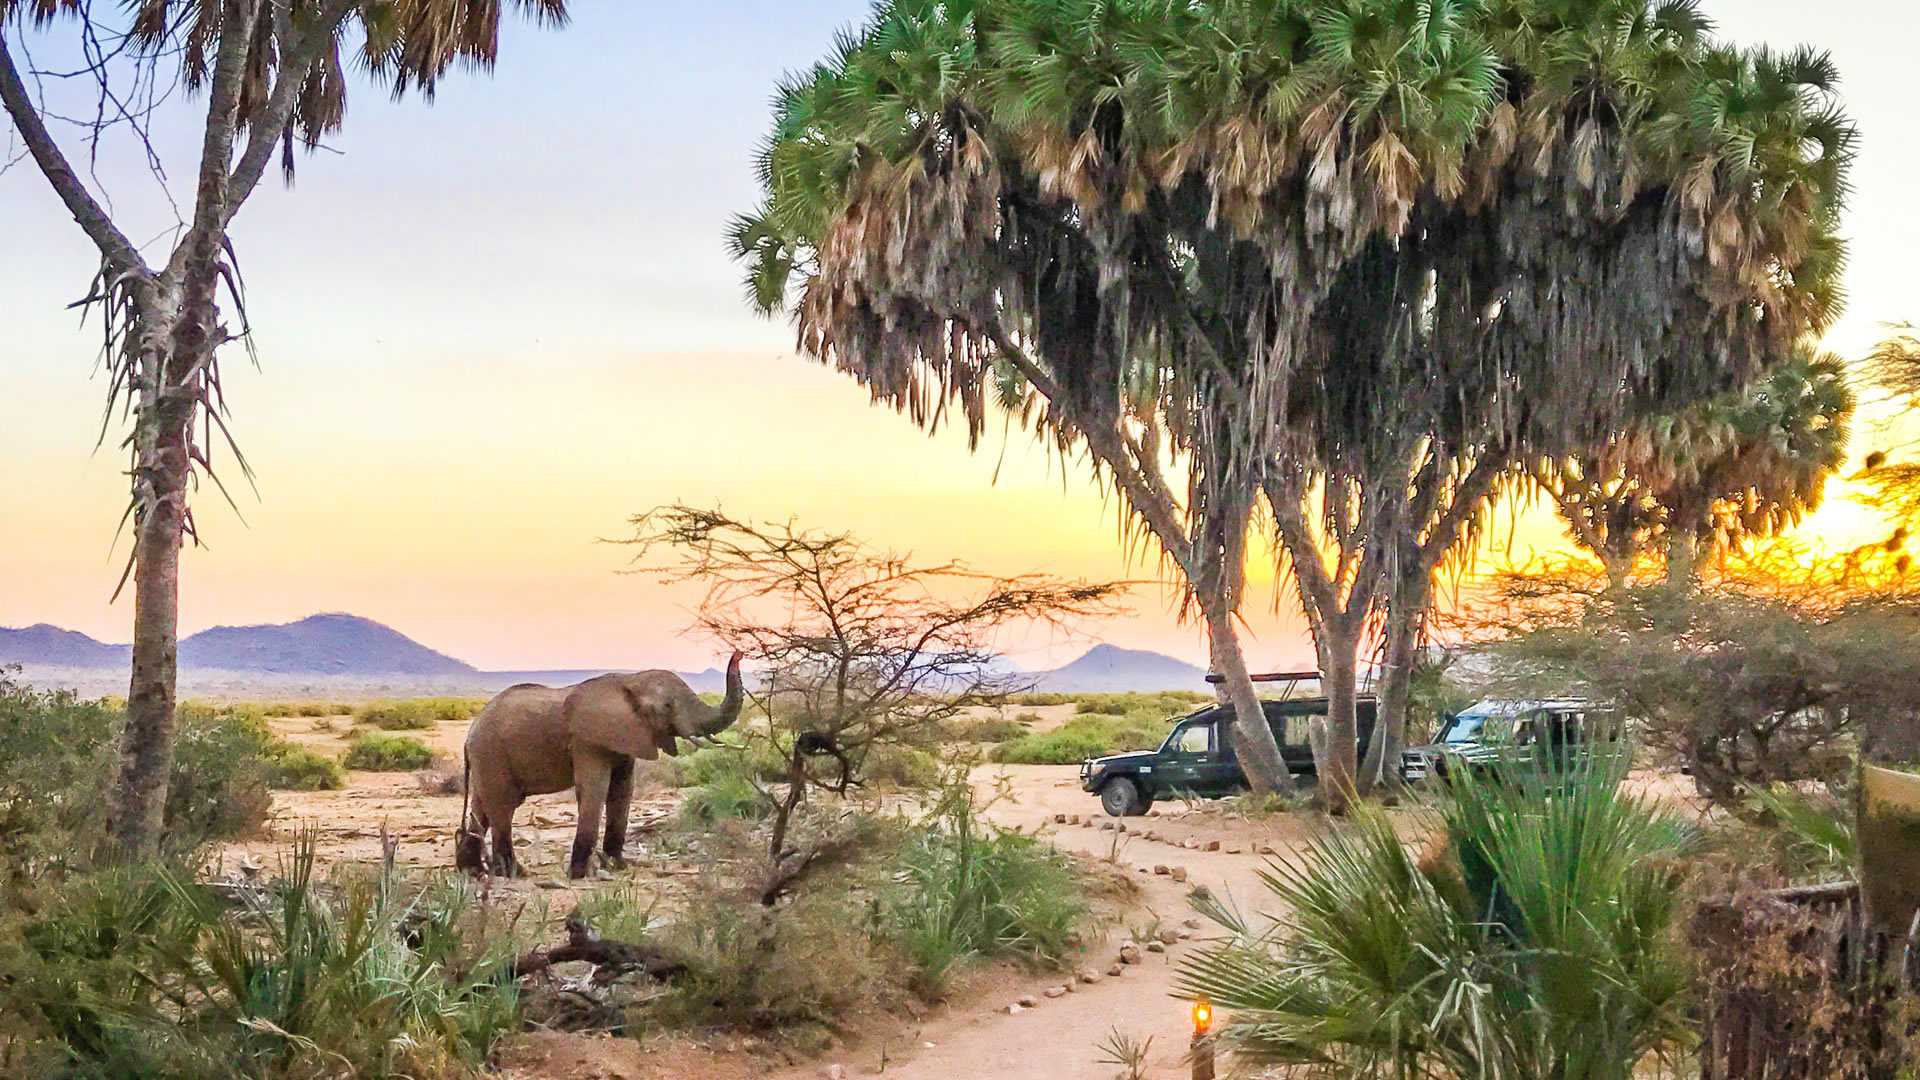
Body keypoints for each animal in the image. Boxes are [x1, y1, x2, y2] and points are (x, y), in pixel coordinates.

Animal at [458, 650, 743, 879]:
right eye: (666, 706)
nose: (739, 653)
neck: (631, 680)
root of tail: (469, 735)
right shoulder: (587, 741)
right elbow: (595, 789)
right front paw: (581, 874)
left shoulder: (626, 737)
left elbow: (622, 791)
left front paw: (617, 866)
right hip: (492, 754)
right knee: (503, 808)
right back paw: (513, 873)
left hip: (486, 758)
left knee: (481, 808)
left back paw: (471, 872)